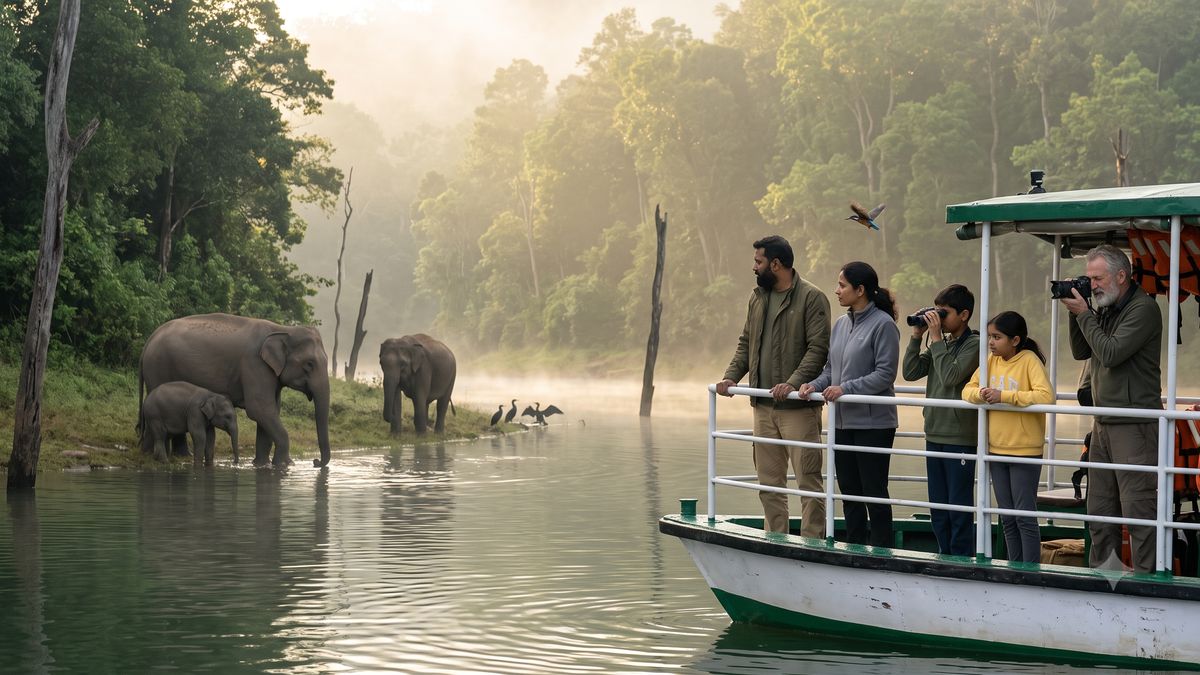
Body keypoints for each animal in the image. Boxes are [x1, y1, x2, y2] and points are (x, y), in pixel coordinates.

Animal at [139, 313, 331, 467]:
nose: (315, 462)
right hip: (158, 368)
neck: (282, 329)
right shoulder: (254, 364)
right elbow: (260, 409)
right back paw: (160, 455)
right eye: (309, 364)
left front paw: (261, 465)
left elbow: (270, 411)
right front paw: (281, 465)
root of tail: (149, 339)